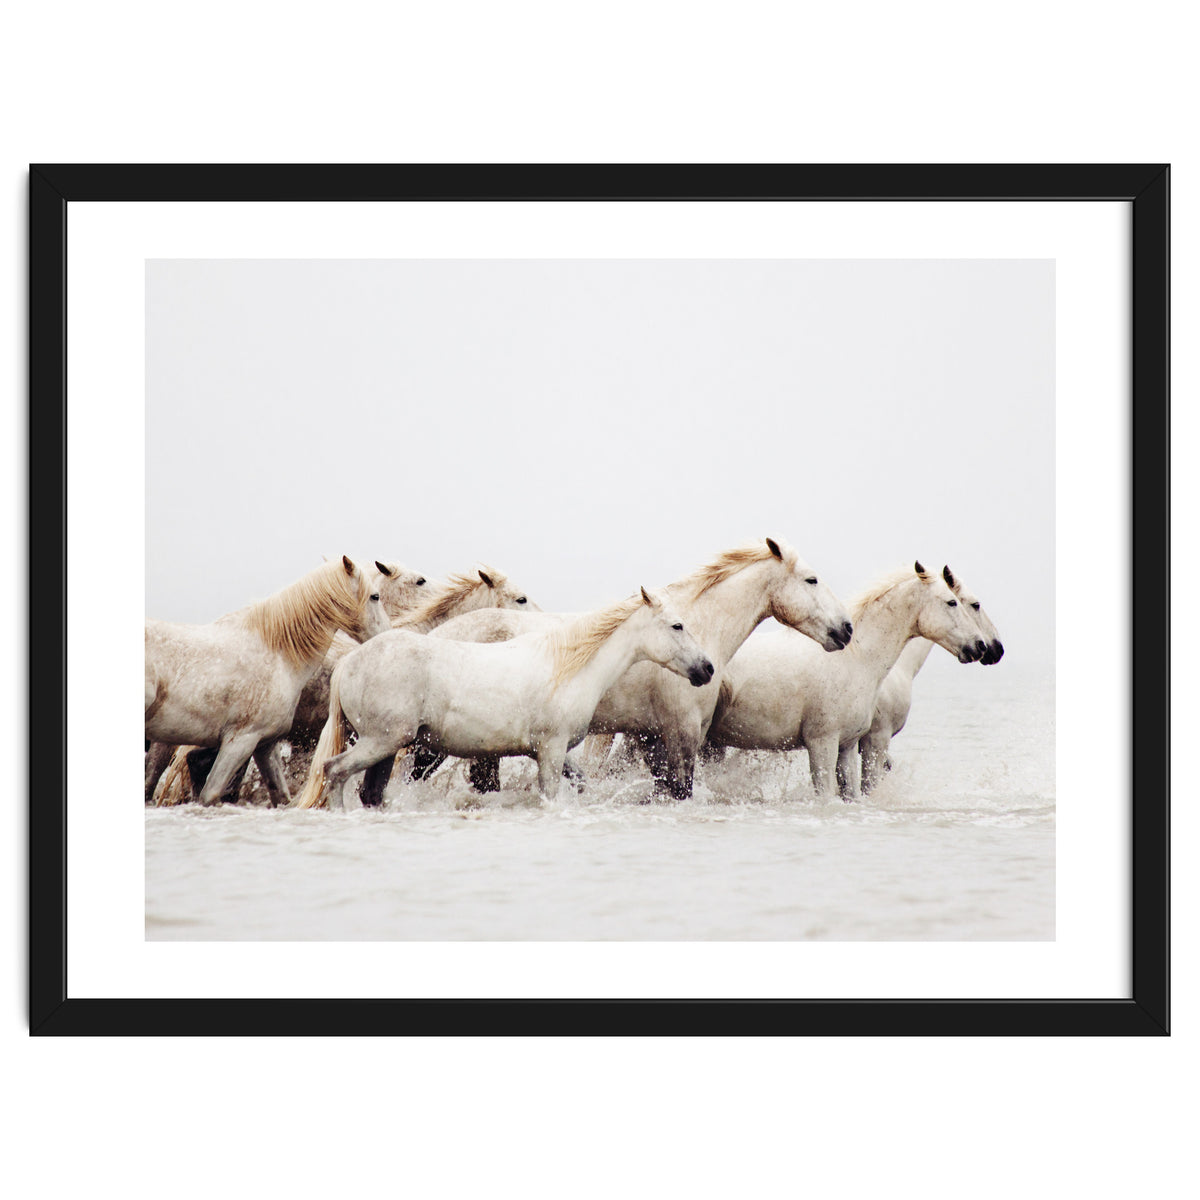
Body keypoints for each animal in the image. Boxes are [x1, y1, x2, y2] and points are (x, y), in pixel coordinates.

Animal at [144, 556, 390, 807]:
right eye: (375, 596)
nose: (387, 634)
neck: (278, 654)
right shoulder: (240, 741)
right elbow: (210, 794)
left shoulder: (264, 744)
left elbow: (280, 795)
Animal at [294, 587, 715, 809]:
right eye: (677, 626)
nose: (707, 669)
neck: (567, 666)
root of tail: (349, 662)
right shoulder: (551, 749)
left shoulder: (553, 753)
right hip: (381, 741)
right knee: (335, 771)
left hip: (387, 746)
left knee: (370, 791)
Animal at [414, 537, 854, 799]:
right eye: (812, 580)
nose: (846, 629)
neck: (697, 627)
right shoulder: (681, 733)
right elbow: (680, 789)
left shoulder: (652, 737)